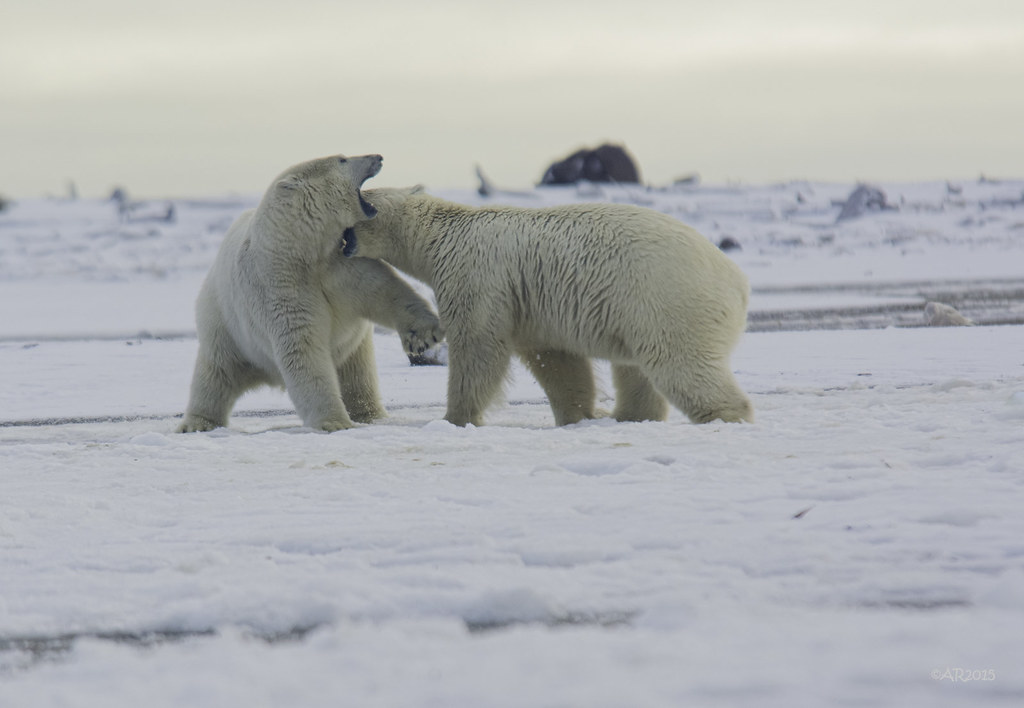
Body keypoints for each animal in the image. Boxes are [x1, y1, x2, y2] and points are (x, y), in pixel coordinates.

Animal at [177, 154, 443, 433]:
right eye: (343, 159)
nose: (378, 157)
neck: (301, 249)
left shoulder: (340, 262)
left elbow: (381, 289)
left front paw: (424, 336)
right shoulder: (278, 283)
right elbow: (302, 346)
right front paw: (334, 422)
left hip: (352, 348)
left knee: (358, 375)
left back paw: (370, 414)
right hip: (226, 328)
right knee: (215, 375)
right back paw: (196, 423)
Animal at [346, 186, 753, 427]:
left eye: (363, 201)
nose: (343, 243)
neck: (443, 234)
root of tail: (738, 280)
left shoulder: (475, 274)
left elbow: (477, 346)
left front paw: (456, 417)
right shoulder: (531, 304)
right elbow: (556, 360)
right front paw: (578, 414)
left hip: (664, 299)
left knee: (679, 364)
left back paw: (724, 416)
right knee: (637, 370)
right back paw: (629, 415)